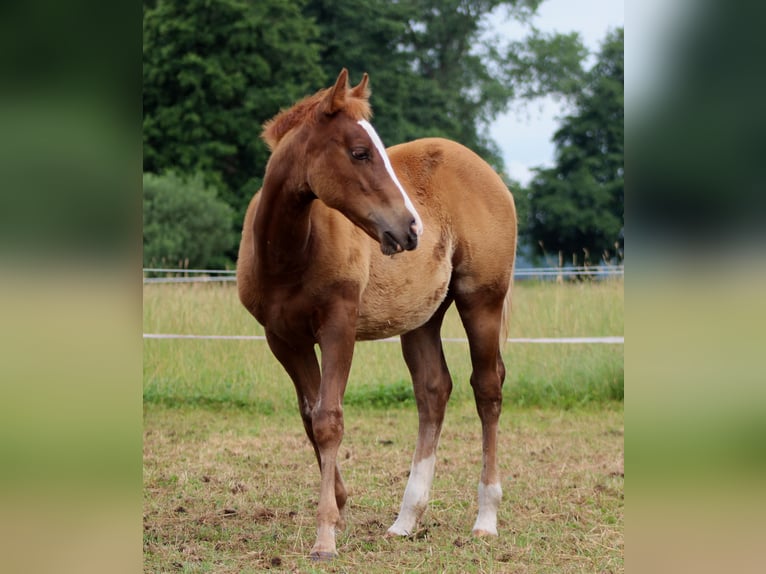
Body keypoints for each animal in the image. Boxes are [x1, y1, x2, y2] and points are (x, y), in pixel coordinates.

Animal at [237, 68, 517, 559]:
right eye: (359, 152)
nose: (411, 228)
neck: (288, 253)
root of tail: (491, 175)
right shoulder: (283, 339)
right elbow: (310, 417)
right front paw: (339, 507)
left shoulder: (338, 326)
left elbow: (330, 419)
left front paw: (325, 535)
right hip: (423, 317)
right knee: (433, 391)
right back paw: (406, 520)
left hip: (481, 299)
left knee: (487, 390)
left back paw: (485, 519)